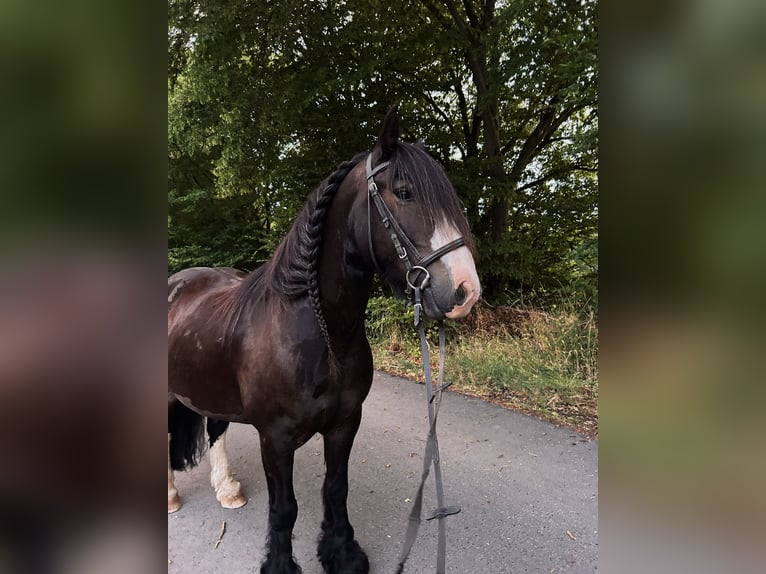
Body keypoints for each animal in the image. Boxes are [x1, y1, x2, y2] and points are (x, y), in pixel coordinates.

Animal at [167, 106, 481, 574]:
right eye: (404, 193)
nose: (466, 291)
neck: (321, 336)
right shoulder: (275, 439)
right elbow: (284, 509)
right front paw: (281, 566)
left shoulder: (344, 424)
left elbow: (335, 489)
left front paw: (342, 554)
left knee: (216, 428)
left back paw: (227, 489)